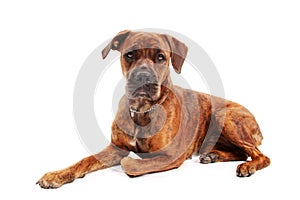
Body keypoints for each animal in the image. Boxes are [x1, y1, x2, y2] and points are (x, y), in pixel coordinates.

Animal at [37, 30, 270, 189]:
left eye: (160, 57)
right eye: (130, 54)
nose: (143, 77)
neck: (142, 110)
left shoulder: (171, 156)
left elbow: (132, 165)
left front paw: (132, 161)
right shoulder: (114, 148)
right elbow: (84, 161)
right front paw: (56, 175)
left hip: (224, 116)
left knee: (260, 156)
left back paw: (248, 166)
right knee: (241, 153)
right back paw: (213, 155)